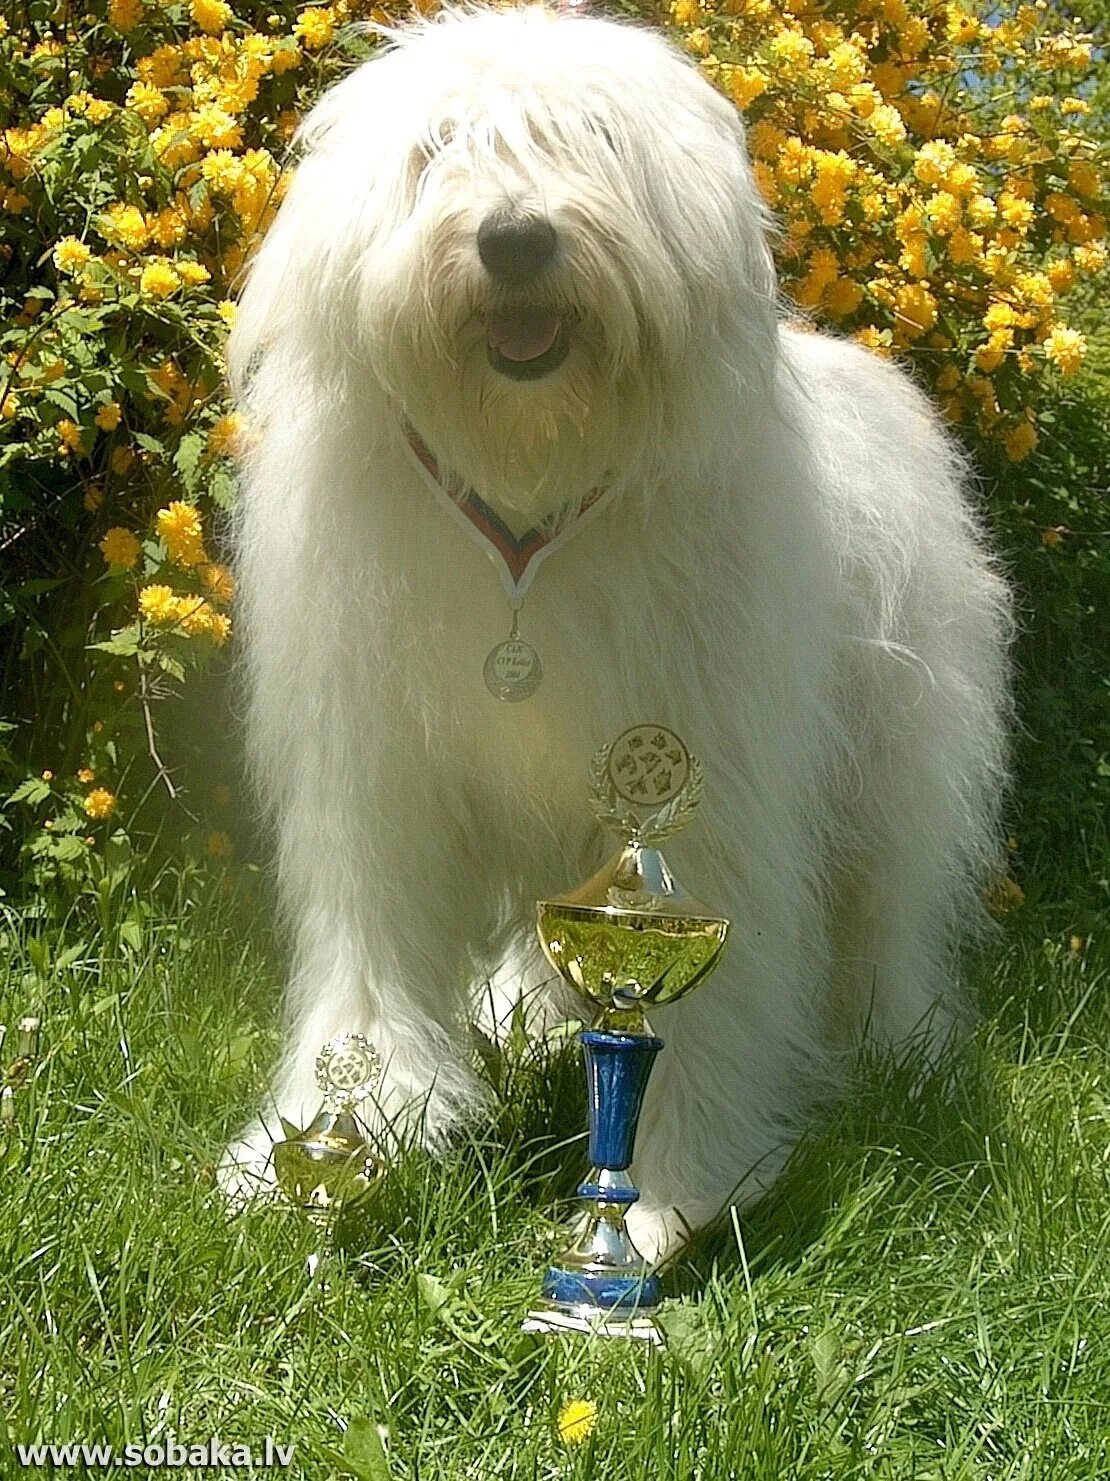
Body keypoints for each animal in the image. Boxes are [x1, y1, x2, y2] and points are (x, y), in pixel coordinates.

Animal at [220, 2, 1007, 1261]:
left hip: (898, 742)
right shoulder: (379, 777)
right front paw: (335, 1138)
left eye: (588, 141)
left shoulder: (702, 782)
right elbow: (372, 959)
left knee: (891, 905)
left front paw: (670, 1191)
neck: (534, 478)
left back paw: (907, 1042)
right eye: (440, 149)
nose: (515, 241)